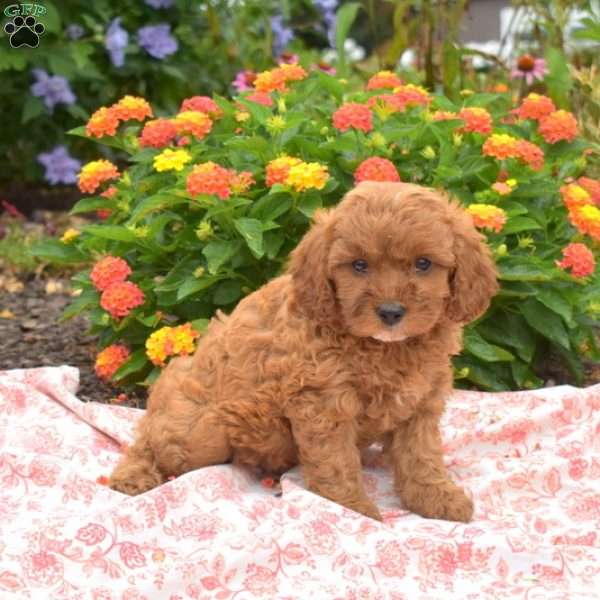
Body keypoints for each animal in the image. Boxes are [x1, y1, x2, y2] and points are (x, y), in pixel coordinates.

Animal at [110, 182, 500, 520]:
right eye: (359, 265)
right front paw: (352, 510)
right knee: (150, 440)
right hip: (202, 433)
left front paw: (436, 497)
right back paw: (131, 477)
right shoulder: (324, 404)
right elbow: (337, 463)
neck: (385, 349)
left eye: (423, 264)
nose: (391, 312)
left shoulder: (420, 403)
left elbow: (422, 455)